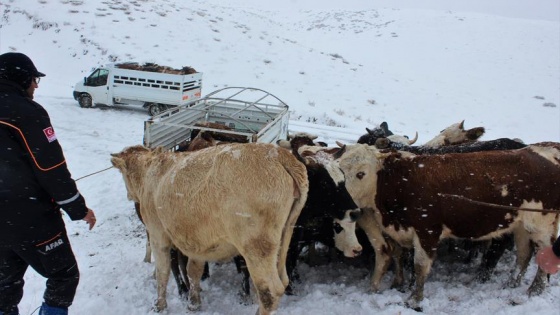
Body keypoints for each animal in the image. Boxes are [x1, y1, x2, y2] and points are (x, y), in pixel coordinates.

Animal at [111, 144, 308, 314]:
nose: (128, 195)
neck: (151, 173)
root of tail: (277, 154)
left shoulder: (157, 234)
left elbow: (163, 271)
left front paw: (159, 305)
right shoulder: (197, 241)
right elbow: (193, 270)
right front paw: (194, 303)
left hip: (256, 247)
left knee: (269, 292)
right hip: (283, 239)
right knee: (282, 282)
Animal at [336, 143, 560, 312]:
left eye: (361, 173)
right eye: (338, 170)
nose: (343, 202)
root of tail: (544, 150)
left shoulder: (427, 230)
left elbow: (420, 265)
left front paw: (414, 300)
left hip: (542, 224)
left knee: (543, 256)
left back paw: (534, 290)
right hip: (522, 226)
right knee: (523, 254)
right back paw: (511, 283)